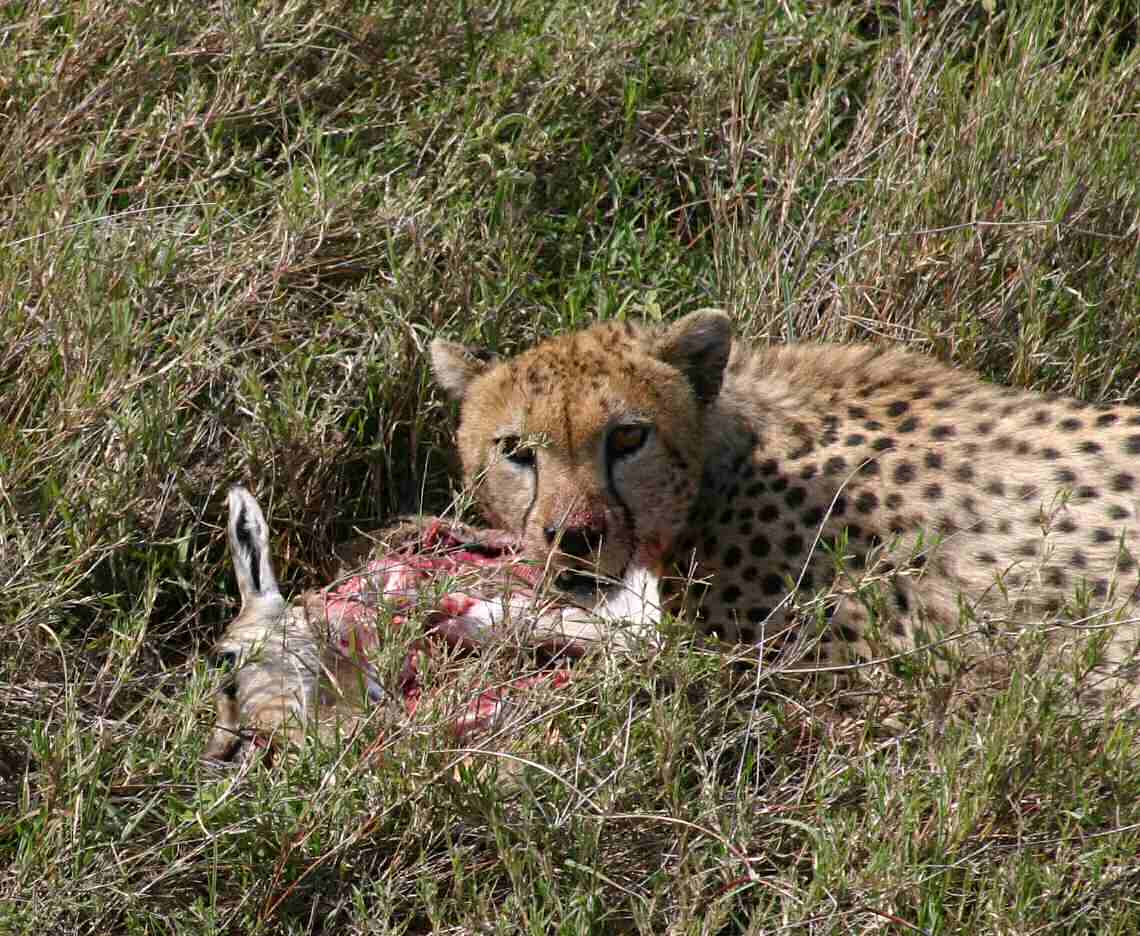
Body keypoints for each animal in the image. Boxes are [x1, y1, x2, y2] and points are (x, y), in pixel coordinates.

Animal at [430, 310, 1140, 706]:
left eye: (628, 437)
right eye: (516, 450)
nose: (574, 536)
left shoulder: (845, 675)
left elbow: (639, 646)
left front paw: (477, 615)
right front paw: (472, 611)